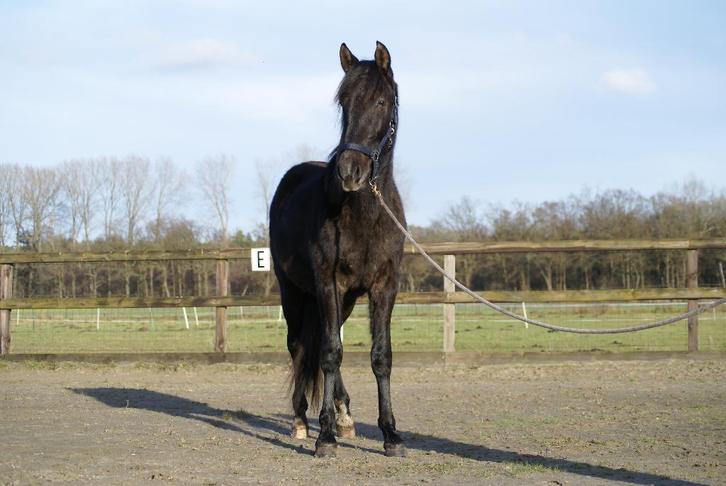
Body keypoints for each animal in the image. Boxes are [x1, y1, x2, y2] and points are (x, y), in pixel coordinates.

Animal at [269, 41, 406, 458]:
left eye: (381, 101)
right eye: (343, 103)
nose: (349, 172)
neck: (365, 216)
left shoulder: (384, 287)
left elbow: (380, 356)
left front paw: (391, 435)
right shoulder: (328, 284)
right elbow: (329, 353)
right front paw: (325, 437)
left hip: (342, 300)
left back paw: (345, 417)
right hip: (294, 292)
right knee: (300, 347)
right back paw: (302, 420)